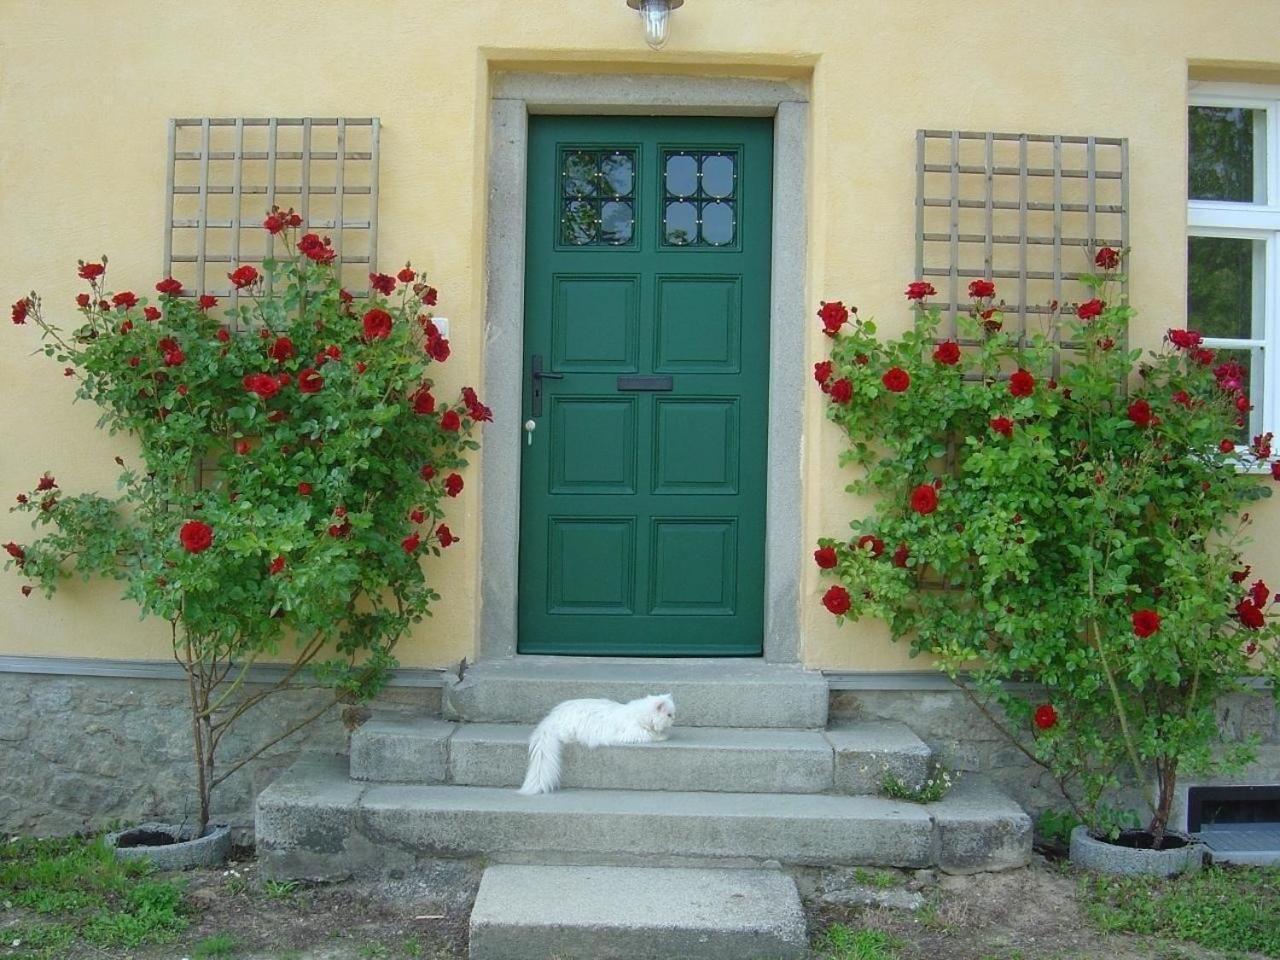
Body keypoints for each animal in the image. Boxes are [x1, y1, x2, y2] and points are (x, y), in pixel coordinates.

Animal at [519, 691, 680, 798]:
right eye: (669, 715)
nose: (674, 719)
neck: (639, 714)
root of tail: (550, 718)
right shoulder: (633, 733)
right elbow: (651, 734)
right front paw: (663, 735)